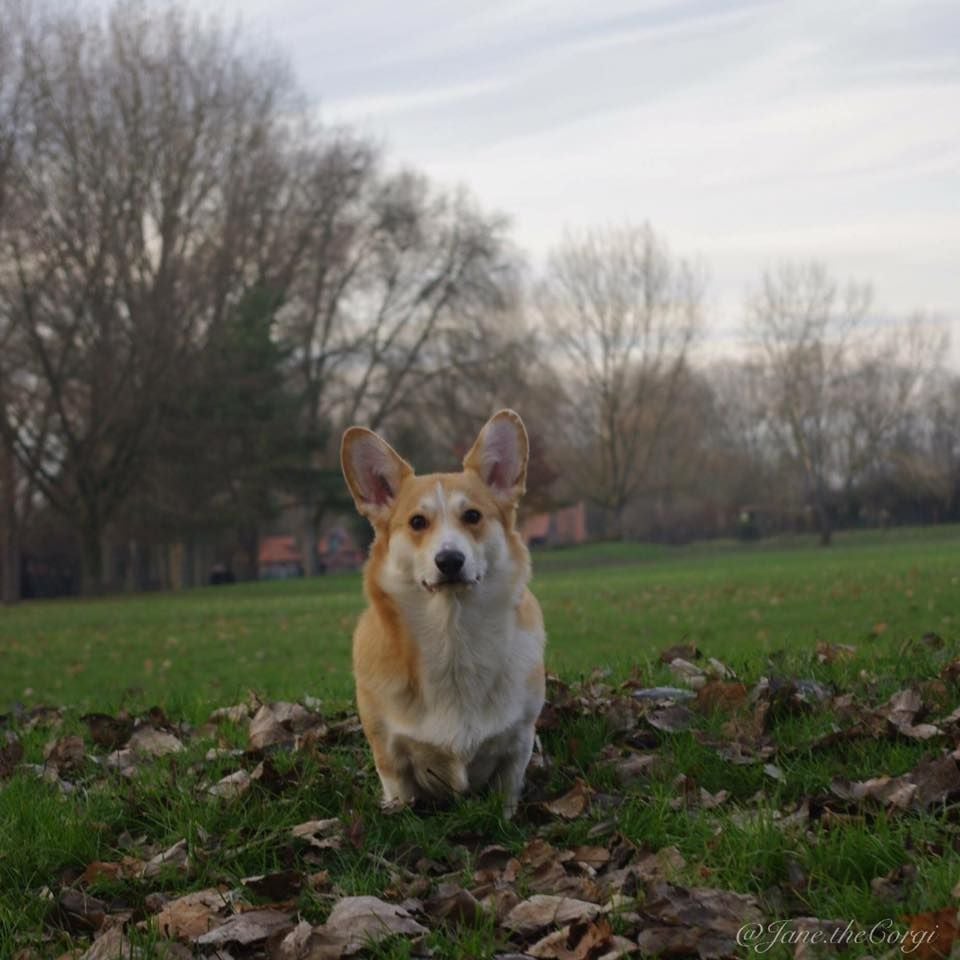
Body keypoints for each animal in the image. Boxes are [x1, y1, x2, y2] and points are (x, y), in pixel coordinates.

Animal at [342, 408, 544, 812]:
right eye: (417, 522)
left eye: (473, 516)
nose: (450, 560)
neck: (453, 635)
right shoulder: (391, 757)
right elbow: (402, 796)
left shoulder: (517, 745)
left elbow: (507, 794)